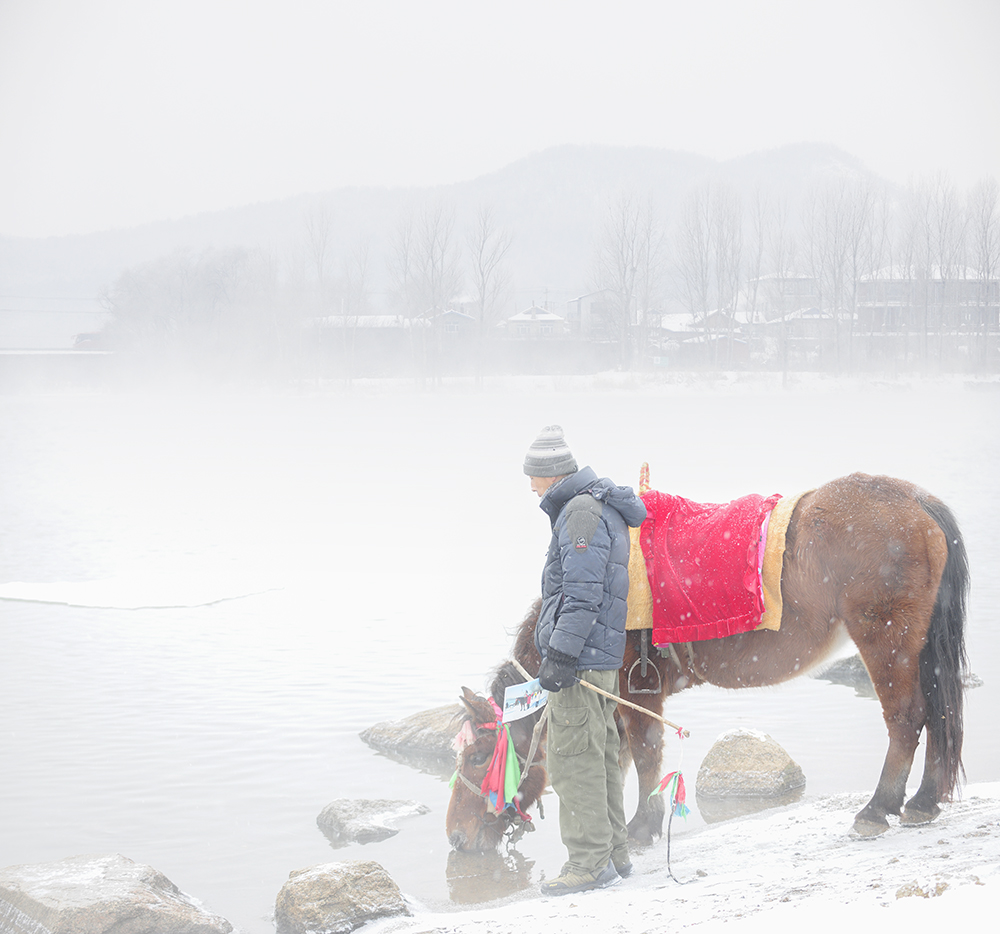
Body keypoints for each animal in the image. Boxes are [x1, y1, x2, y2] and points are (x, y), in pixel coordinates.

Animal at [446, 478, 968, 852]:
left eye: (478, 757)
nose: (455, 836)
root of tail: (916, 500)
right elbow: (620, 759)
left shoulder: (636, 690)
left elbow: (645, 755)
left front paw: (642, 826)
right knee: (938, 711)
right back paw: (923, 800)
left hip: (886, 641)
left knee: (906, 718)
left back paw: (878, 808)